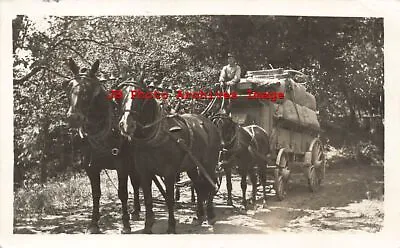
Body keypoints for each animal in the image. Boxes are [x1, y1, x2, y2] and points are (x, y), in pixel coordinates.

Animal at [65, 58, 141, 234]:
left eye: (87, 90)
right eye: (69, 87)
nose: (73, 118)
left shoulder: (122, 164)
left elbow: (122, 193)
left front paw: (125, 224)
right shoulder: (91, 167)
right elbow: (96, 194)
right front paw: (93, 224)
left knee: (136, 183)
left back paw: (136, 211)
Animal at [119, 80, 220, 233]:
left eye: (140, 96)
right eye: (122, 95)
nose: (125, 125)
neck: (155, 136)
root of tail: (209, 123)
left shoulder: (169, 173)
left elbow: (169, 199)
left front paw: (171, 226)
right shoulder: (144, 172)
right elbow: (148, 198)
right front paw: (147, 226)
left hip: (209, 163)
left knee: (209, 184)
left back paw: (211, 215)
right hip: (191, 165)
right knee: (197, 185)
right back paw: (200, 215)